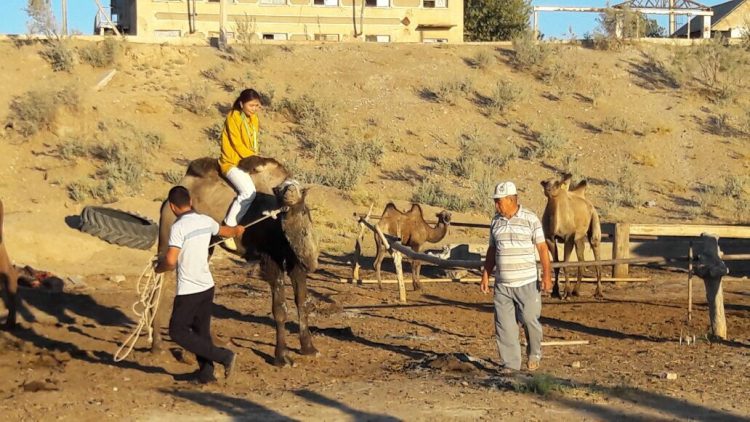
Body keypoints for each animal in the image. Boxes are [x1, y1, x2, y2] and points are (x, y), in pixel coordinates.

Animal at [153, 157, 320, 368]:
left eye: (297, 189)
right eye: (281, 189)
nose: (289, 191)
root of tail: (167, 202)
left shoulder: (293, 260)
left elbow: (301, 301)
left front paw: (309, 348)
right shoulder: (270, 258)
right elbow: (280, 308)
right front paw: (281, 357)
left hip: (204, 245)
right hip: (170, 233)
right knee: (162, 280)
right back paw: (158, 345)